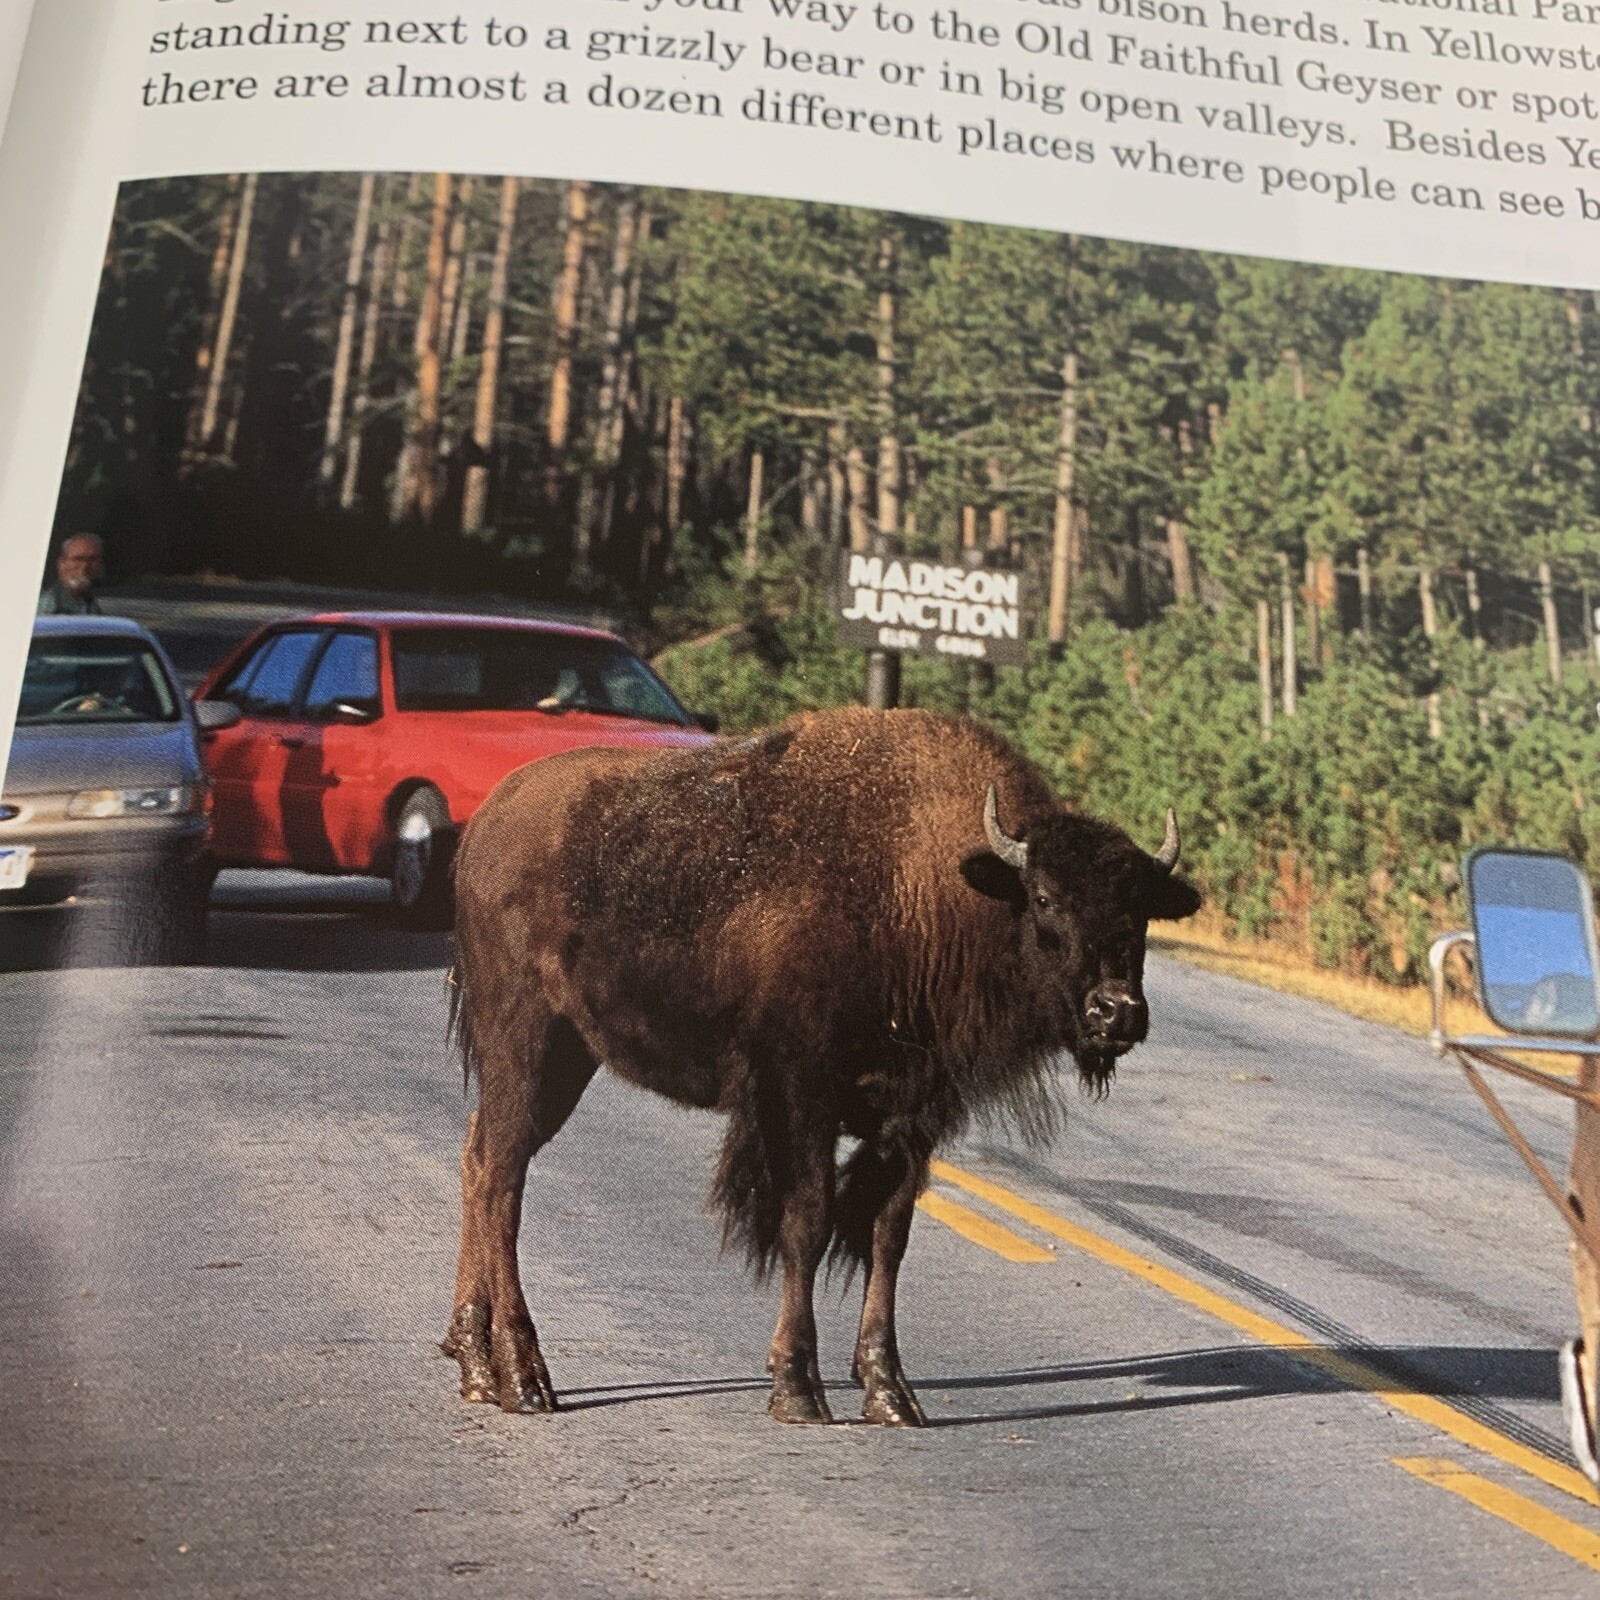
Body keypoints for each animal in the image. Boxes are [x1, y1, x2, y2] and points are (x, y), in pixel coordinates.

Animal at [444, 707, 1201, 1426]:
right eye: (1044, 896)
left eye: (1141, 911)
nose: (1117, 1011)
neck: (929, 888)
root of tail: (488, 821)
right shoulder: (800, 1094)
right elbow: (806, 1220)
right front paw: (797, 1388)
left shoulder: (913, 1116)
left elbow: (887, 1235)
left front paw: (890, 1393)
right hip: (524, 1039)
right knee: (503, 1180)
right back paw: (525, 1378)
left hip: (567, 1061)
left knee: (482, 1159)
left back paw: (475, 1362)